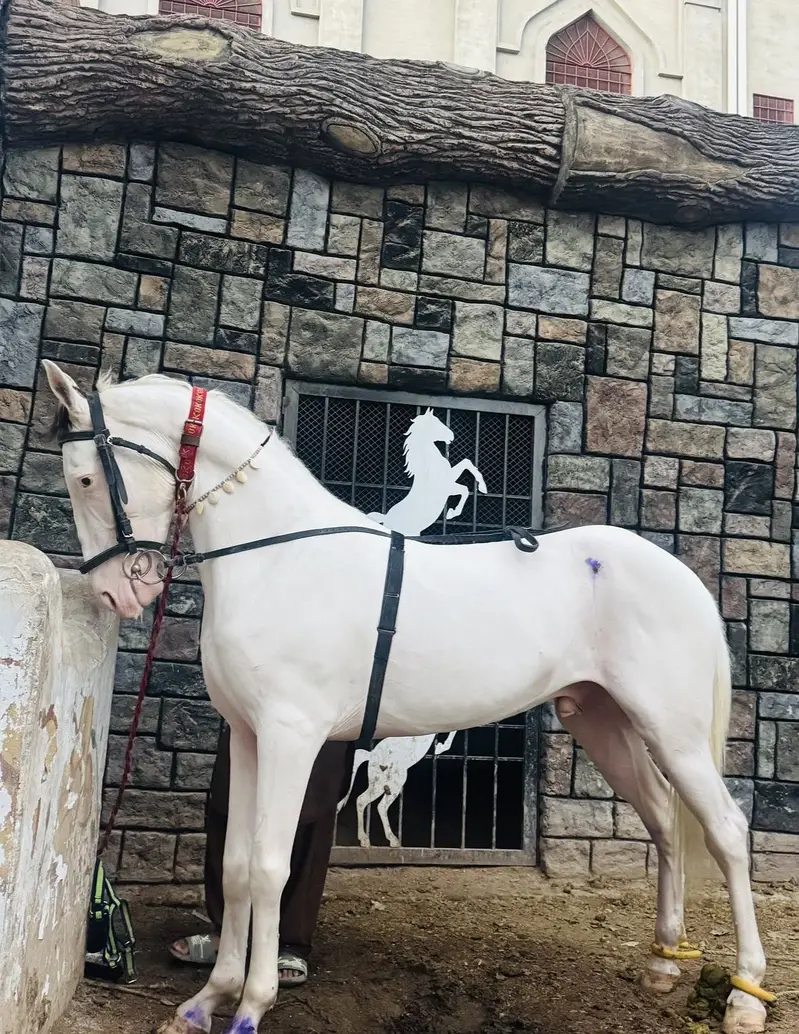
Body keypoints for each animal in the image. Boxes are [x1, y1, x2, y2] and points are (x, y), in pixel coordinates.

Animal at [42, 360, 771, 1034]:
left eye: (84, 478)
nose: (115, 592)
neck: (280, 558)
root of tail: (682, 577)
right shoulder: (250, 738)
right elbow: (237, 865)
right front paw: (204, 1002)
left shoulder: (290, 737)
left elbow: (271, 868)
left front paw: (251, 1007)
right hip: (603, 721)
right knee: (662, 820)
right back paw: (662, 963)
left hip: (670, 731)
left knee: (726, 831)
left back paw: (744, 996)